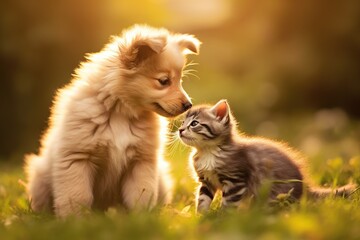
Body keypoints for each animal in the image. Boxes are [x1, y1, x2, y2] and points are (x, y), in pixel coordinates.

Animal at [24, 24, 200, 218]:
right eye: (164, 81)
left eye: (180, 80)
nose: (188, 105)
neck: (120, 113)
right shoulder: (77, 159)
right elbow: (77, 196)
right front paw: (75, 220)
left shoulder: (140, 162)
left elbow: (140, 194)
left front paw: (141, 218)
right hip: (40, 177)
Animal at [179, 100, 356, 213]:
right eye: (182, 123)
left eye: (194, 123)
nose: (180, 130)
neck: (208, 152)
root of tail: (305, 189)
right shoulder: (206, 181)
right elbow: (202, 200)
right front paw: (202, 217)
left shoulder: (236, 179)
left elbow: (228, 203)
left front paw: (222, 220)